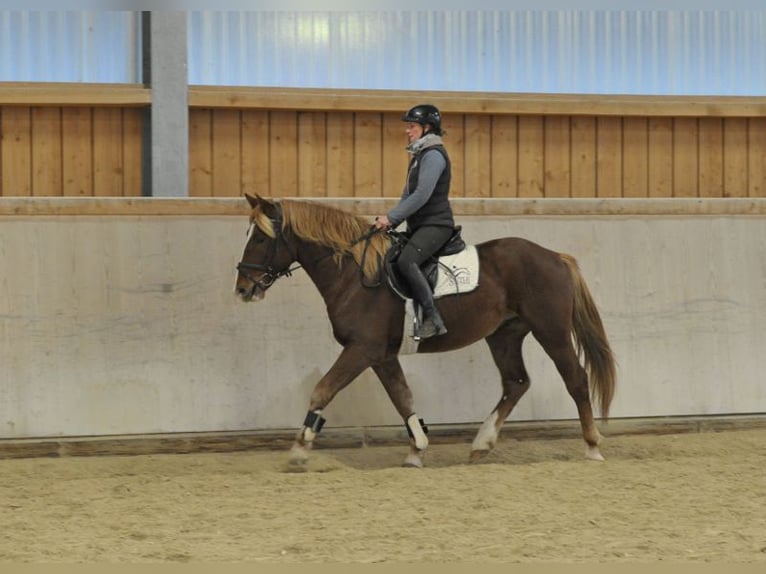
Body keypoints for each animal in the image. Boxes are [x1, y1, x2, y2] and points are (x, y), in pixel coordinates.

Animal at [234, 196, 616, 470]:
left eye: (261, 238)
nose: (243, 289)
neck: (355, 277)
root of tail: (555, 256)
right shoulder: (381, 355)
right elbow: (403, 398)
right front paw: (416, 451)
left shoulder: (361, 349)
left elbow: (322, 390)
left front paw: (299, 449)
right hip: (504, 335)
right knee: (516, 383)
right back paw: (481, 445)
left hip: (551, 331)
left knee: (576, 378)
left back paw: (592, 446)